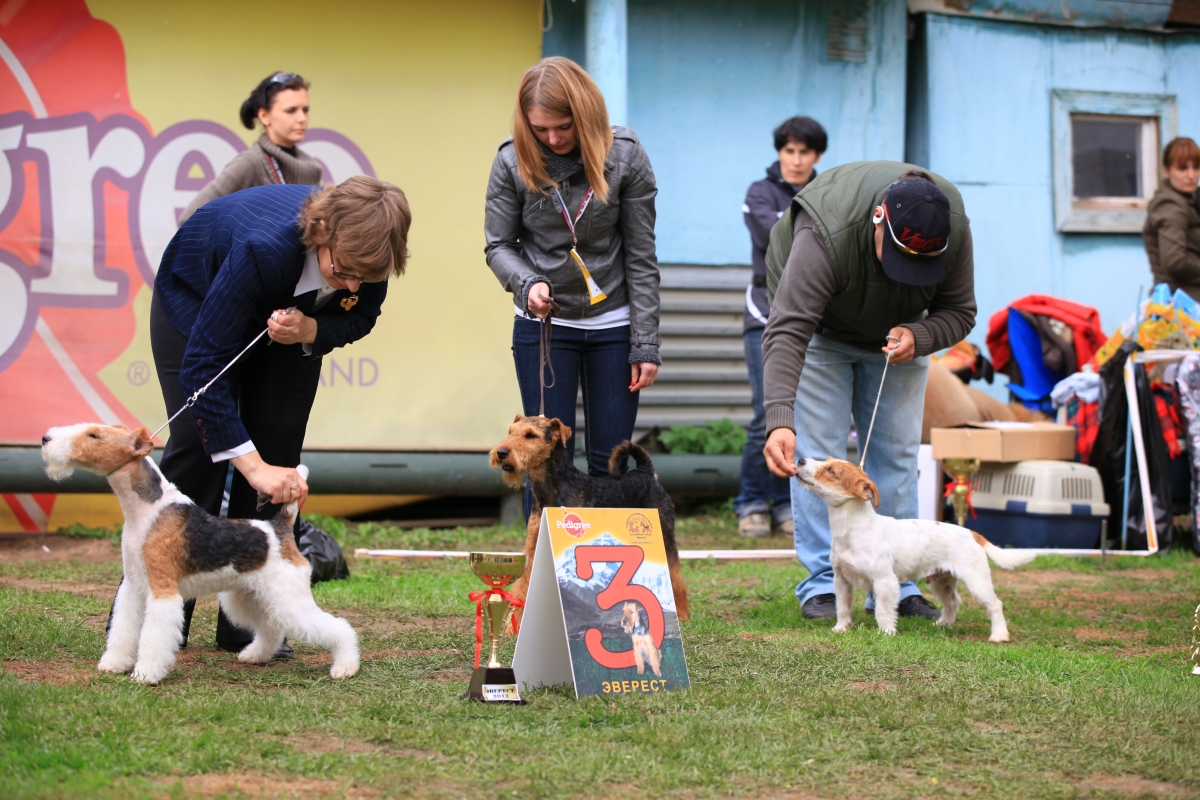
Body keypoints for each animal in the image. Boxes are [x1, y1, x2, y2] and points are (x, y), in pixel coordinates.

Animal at [43, 422, 360, 686]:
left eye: (94, 435)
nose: (46, 438)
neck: (146, 511)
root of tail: (278, 528)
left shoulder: (162, 589)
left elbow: (153, 636)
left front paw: (146, 674)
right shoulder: (133, 586)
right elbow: (123, 629)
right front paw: (114, 663)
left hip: (289, 598)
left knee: (339, 627)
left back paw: (345, 667)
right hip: (246, 598)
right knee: (271, 628)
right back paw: (254, 655)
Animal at [796, 460, 1032, 642]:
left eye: (831, 471)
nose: (800, 460)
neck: (853, 530)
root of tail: (972, 533)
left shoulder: (885, 581)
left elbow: (883, 610)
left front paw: (886, 633)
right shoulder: (841, 580)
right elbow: (843, 607)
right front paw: (841, 628)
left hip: (977, 581)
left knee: (995, 605)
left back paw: (999, 635)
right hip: (942, 581)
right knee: (953, 602)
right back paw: (943, 624)